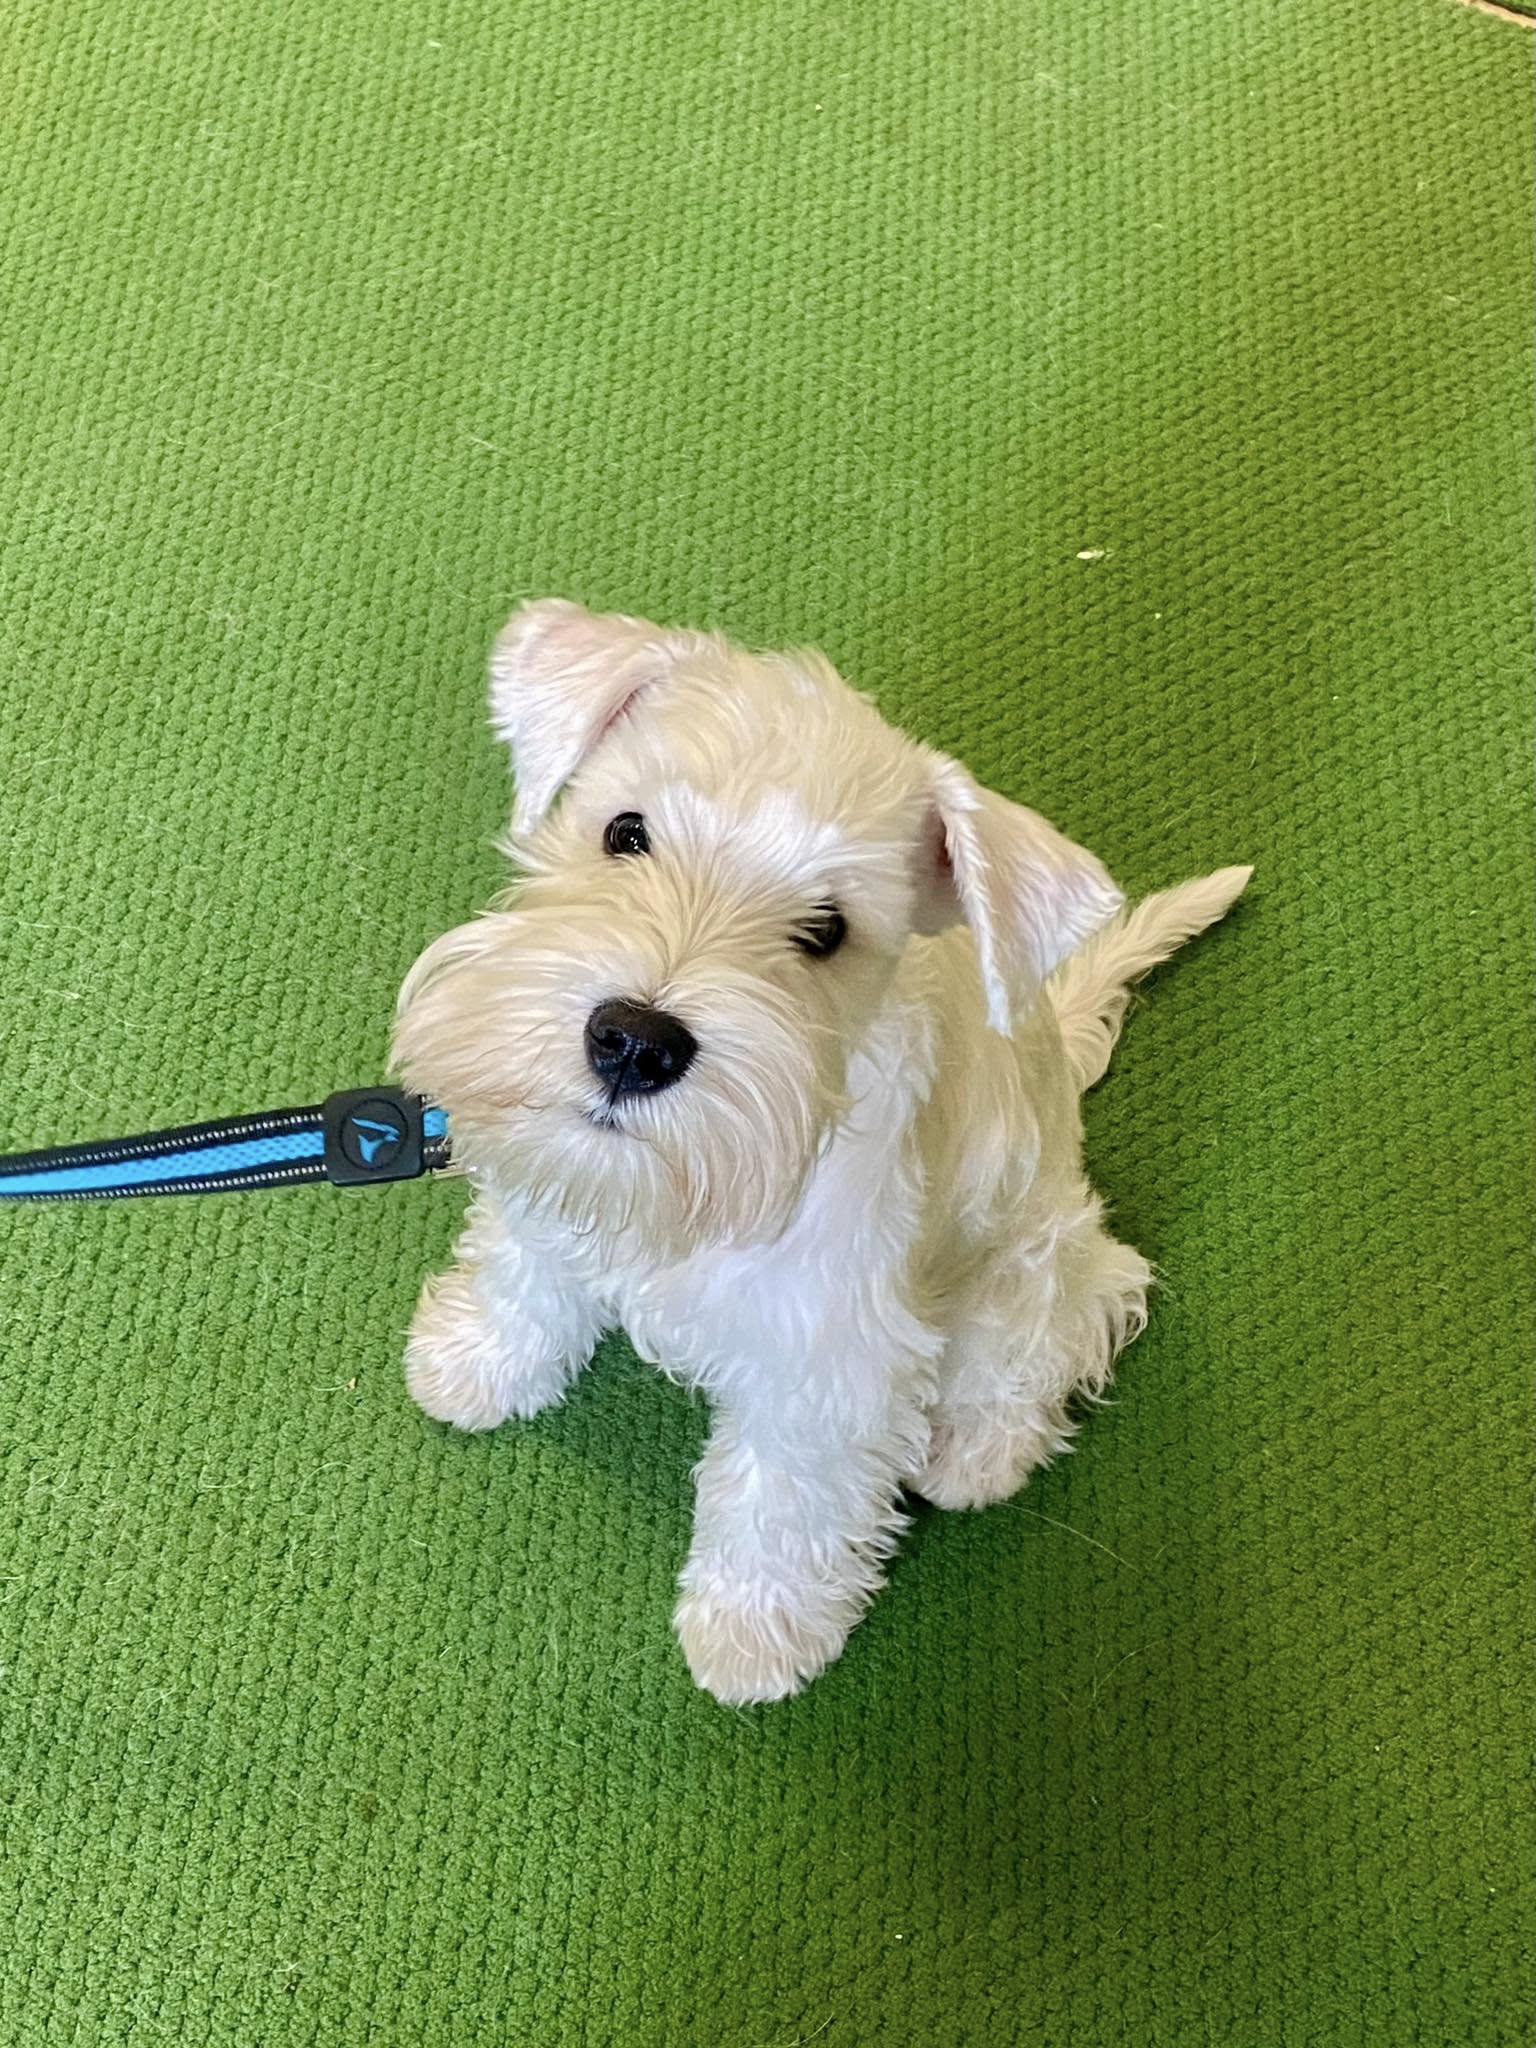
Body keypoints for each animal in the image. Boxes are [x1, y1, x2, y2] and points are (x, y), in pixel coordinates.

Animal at [393, 599, 1250, 1703]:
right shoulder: (559, 1185)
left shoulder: (827, 1366)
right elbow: (524, 1274)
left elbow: (781, 1504)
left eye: (827, 929)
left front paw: (754, 1634)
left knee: (1074, 1316)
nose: (634, 1041)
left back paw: (980, 1446)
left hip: (1034, 1257)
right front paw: (480, 1361)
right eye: (626, 832)